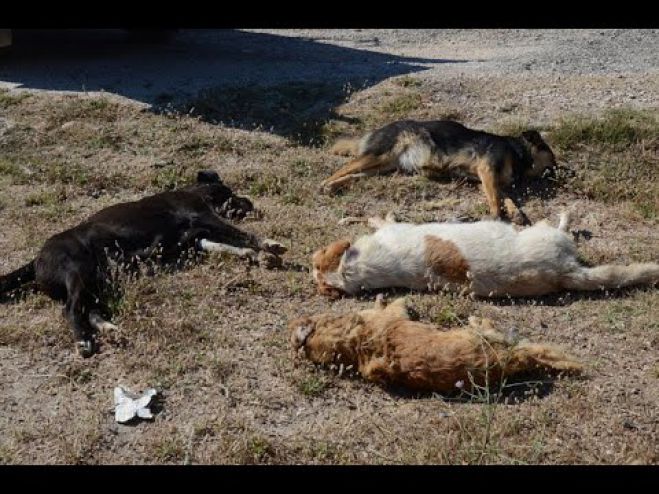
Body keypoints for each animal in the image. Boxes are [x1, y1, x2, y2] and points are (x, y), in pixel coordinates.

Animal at [1, 170, 288, 356]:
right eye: (231, 191)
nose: (251, 202)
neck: (196, 192)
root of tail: (35, 259)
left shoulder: (198, 240)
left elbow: (230, 246)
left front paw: (256, 255)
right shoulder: (203, 217)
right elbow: (245, 234)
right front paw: (269, 245)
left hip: (97, 281)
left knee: (88, 310)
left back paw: (109, 329)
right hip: (78, 272)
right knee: (71, 310)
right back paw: (83, 341)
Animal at [320, 119, 556, 222]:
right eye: (549, 151)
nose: (559, 170)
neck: (517, 151)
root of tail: (377, 129)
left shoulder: (489, 180)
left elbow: (507, 198)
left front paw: (516, 212)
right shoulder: (487, 170)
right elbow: (496, 201)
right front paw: (497, 217)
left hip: (381, 167)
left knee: (353, 174)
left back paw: (333, 187)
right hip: (378, 156)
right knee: (344, 167)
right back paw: (324, 184)